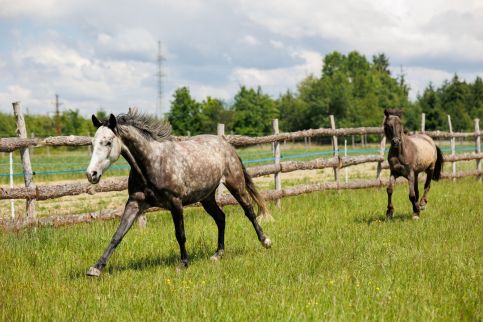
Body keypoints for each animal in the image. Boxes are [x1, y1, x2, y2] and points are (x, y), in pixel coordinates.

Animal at [84, 110, 272, 276]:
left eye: (108, 142)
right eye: (92, 144)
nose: (91, 174)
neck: (153, 163)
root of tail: (226, 144)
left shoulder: (175, 203)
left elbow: (180, 234)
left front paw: (183, 263)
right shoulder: (134, 203)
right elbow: (117, 235)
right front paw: (96, 268)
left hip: (236, 186)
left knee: (249, 211)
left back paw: (265, 241)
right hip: (207, 198)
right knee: (221, 218)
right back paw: (218, 254)